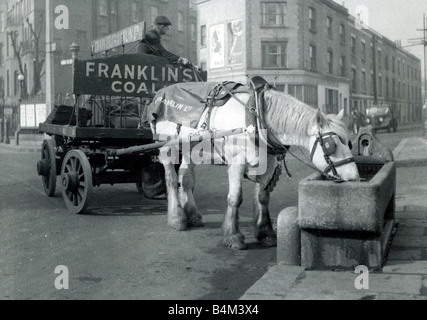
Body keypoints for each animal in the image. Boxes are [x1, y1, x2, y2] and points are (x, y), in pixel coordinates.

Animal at [149, 83, 360, 250]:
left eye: (349, 143)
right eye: (330, 145)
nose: (354, 178)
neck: (257, 119)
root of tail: (161, 93)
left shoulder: (268, 164)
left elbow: (263, 197)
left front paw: (265, 233)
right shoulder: (236, 162)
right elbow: (235, 198)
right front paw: (233, 236)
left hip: (191, 149)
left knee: (186, 179)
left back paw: (192, 214)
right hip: (168, 147)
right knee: (171, 179)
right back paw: (177, 218)